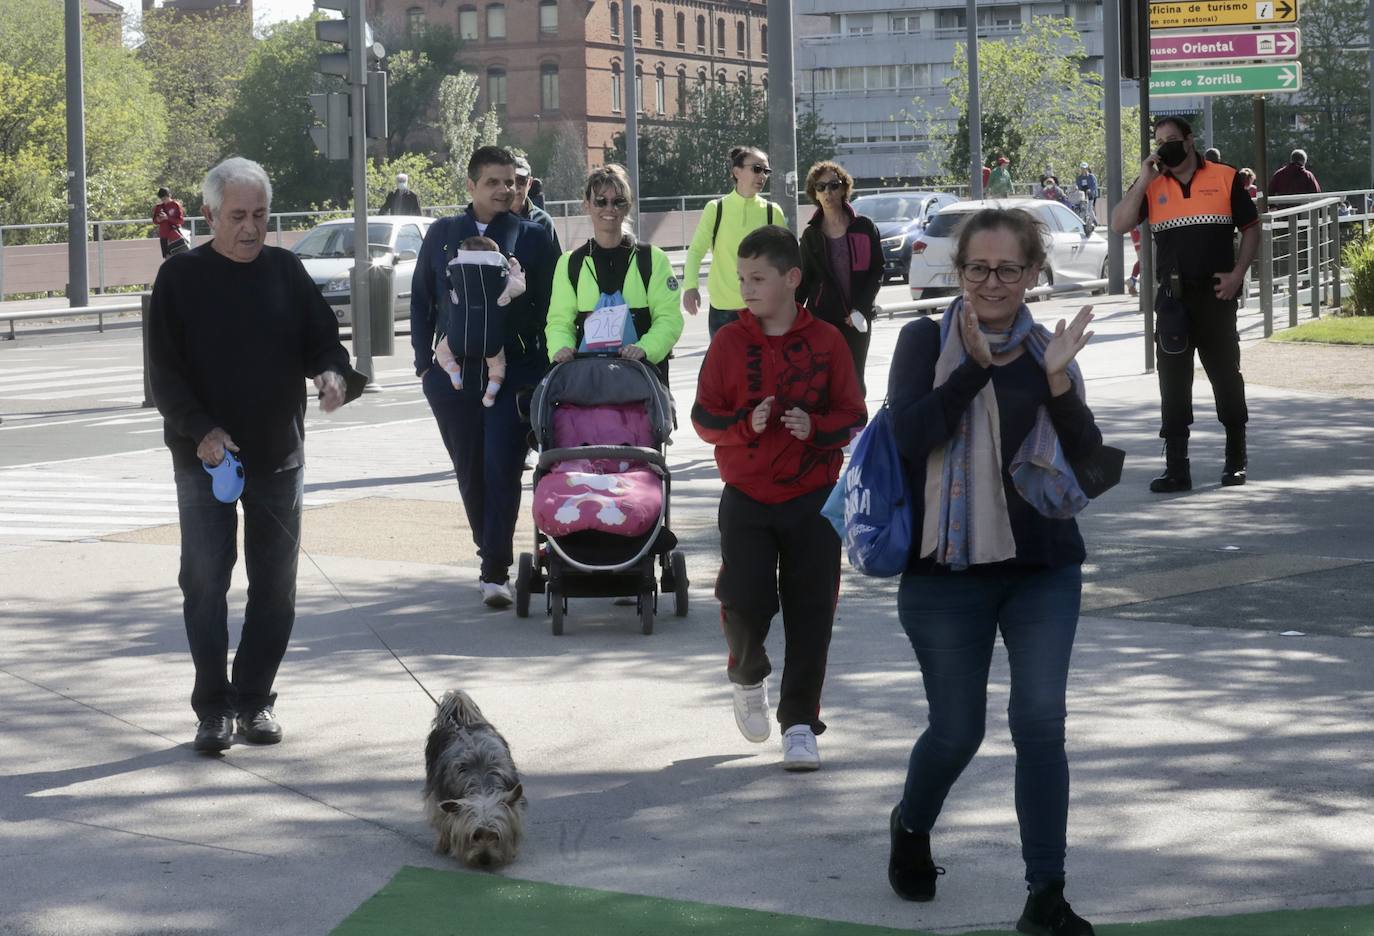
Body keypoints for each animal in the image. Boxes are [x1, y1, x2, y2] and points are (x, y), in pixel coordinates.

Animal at [417, 687, 524, 868]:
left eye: (495, 836)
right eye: (475, 836)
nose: (485, 859)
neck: (482, 782)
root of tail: (462, 721)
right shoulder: (443, 796)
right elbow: (444, 820)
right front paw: (444, 844)